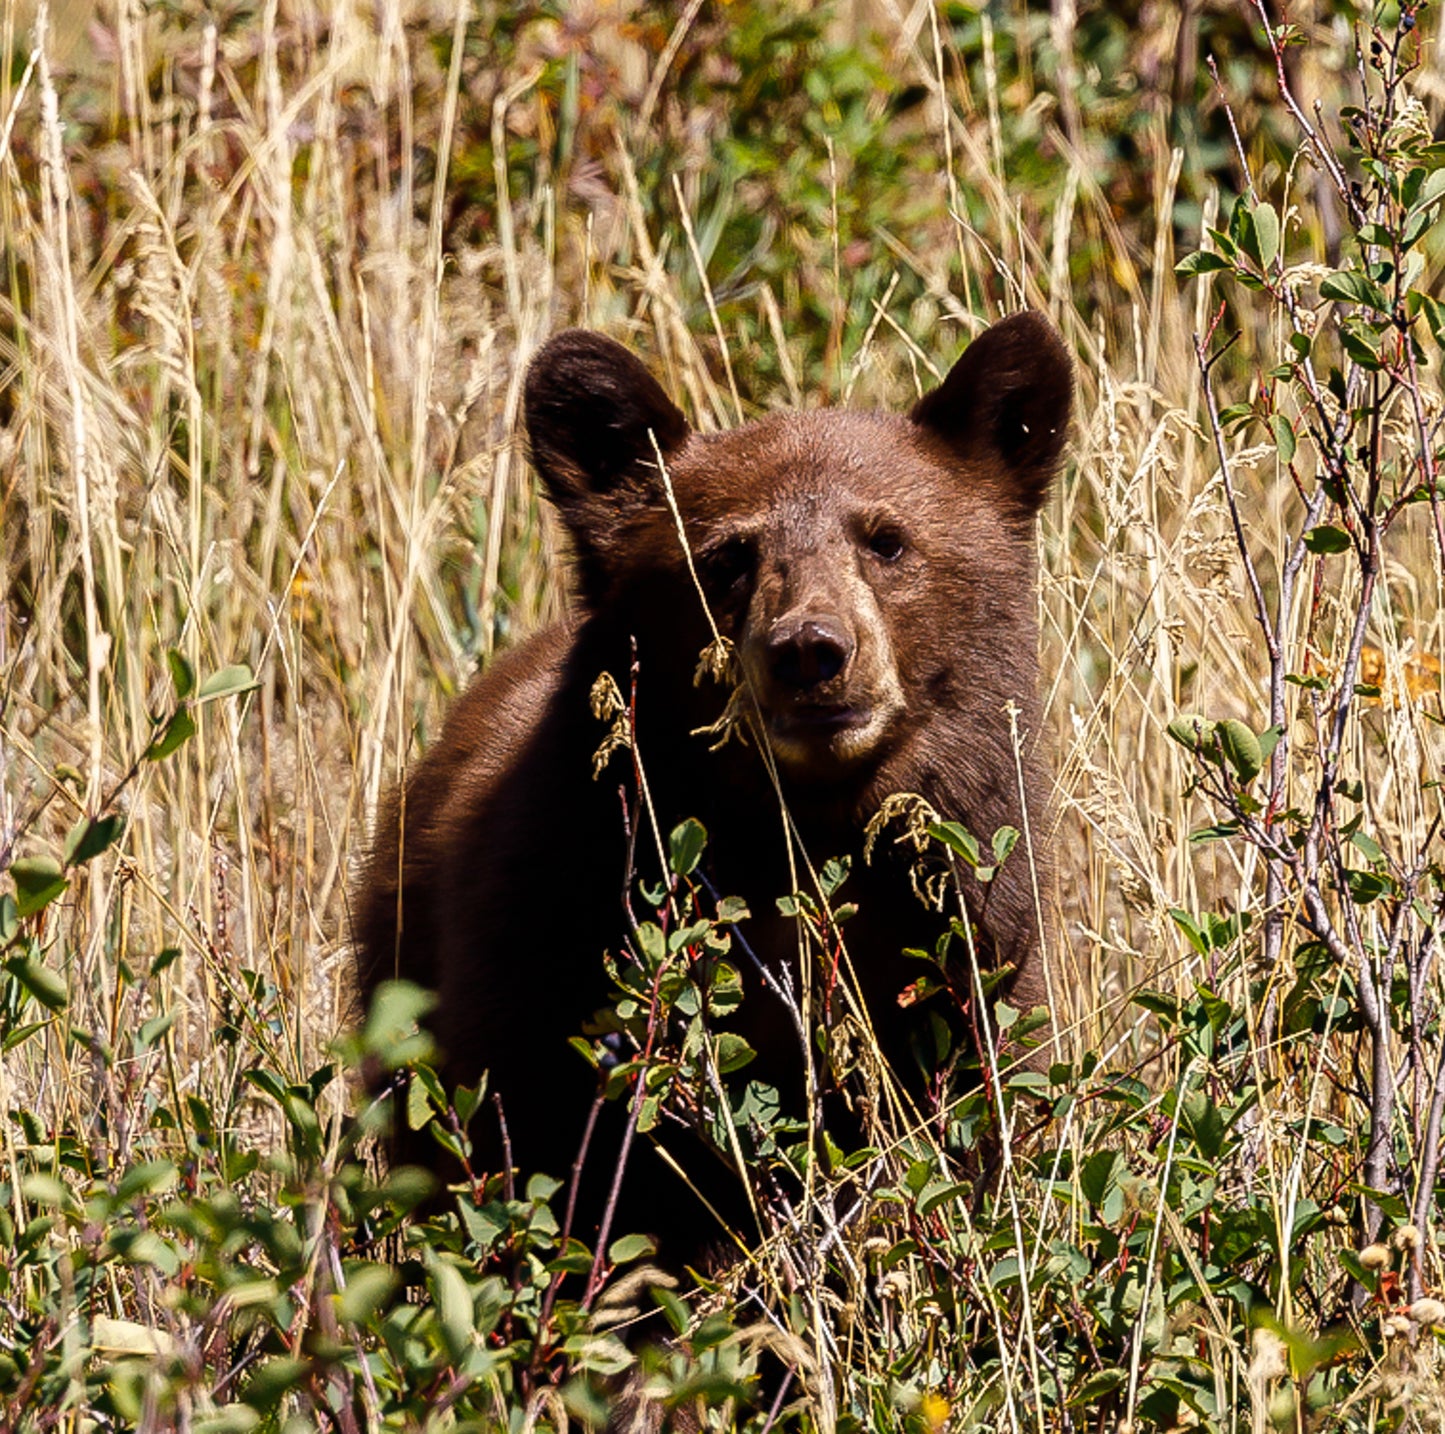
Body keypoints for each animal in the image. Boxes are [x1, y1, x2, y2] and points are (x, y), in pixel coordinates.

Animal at [354, 310, 1069, 1254]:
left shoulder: (971, 952)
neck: (797, 833)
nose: (810, 650)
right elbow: (530, 1148)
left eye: (886, 540)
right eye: (727, 555)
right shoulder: (550, 942)